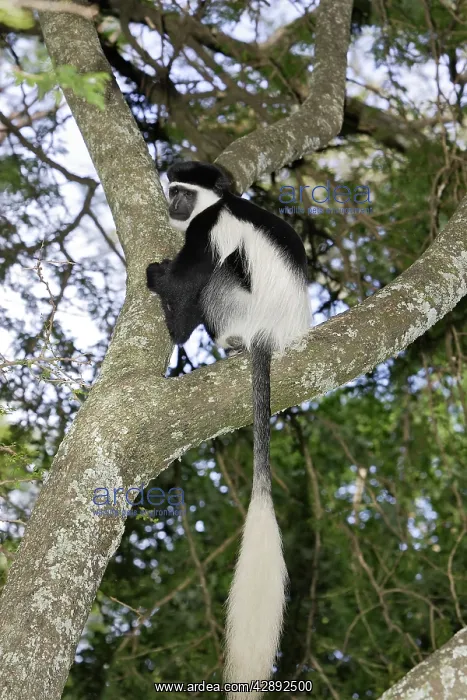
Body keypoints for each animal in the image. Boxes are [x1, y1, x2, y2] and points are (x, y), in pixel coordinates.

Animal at [146, 161, 310, 697]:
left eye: (181, 192)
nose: (171, 204)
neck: (219, 200)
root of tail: (270, 335)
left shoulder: (208, 227)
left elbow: (186, 278)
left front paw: (160, 281)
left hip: (236, 303)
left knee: (215, 278)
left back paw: (203, 334)